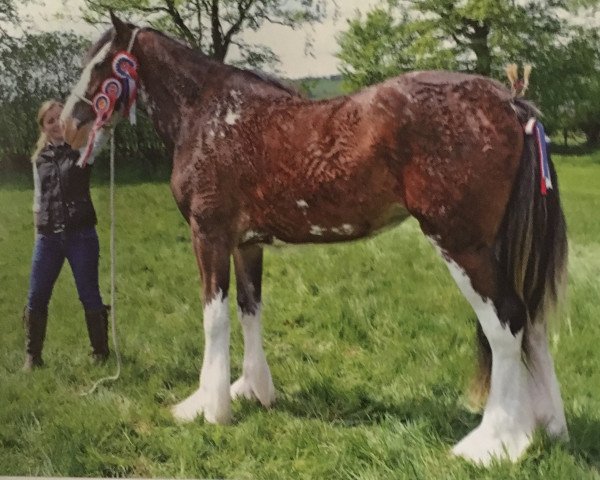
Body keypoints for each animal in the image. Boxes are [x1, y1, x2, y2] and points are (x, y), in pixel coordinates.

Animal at [62, 12, 572, 464]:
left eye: (103, 65)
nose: (68, 126)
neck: (208, 116)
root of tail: (511, 103)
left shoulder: (209, 236)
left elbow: (214, 317)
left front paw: (208, 408)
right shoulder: (246, 243)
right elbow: (249, 310)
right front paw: (252, 391)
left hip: (462, 245)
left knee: (506, 322)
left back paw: (496, 443)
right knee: (532, 321)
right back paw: (545, 428)